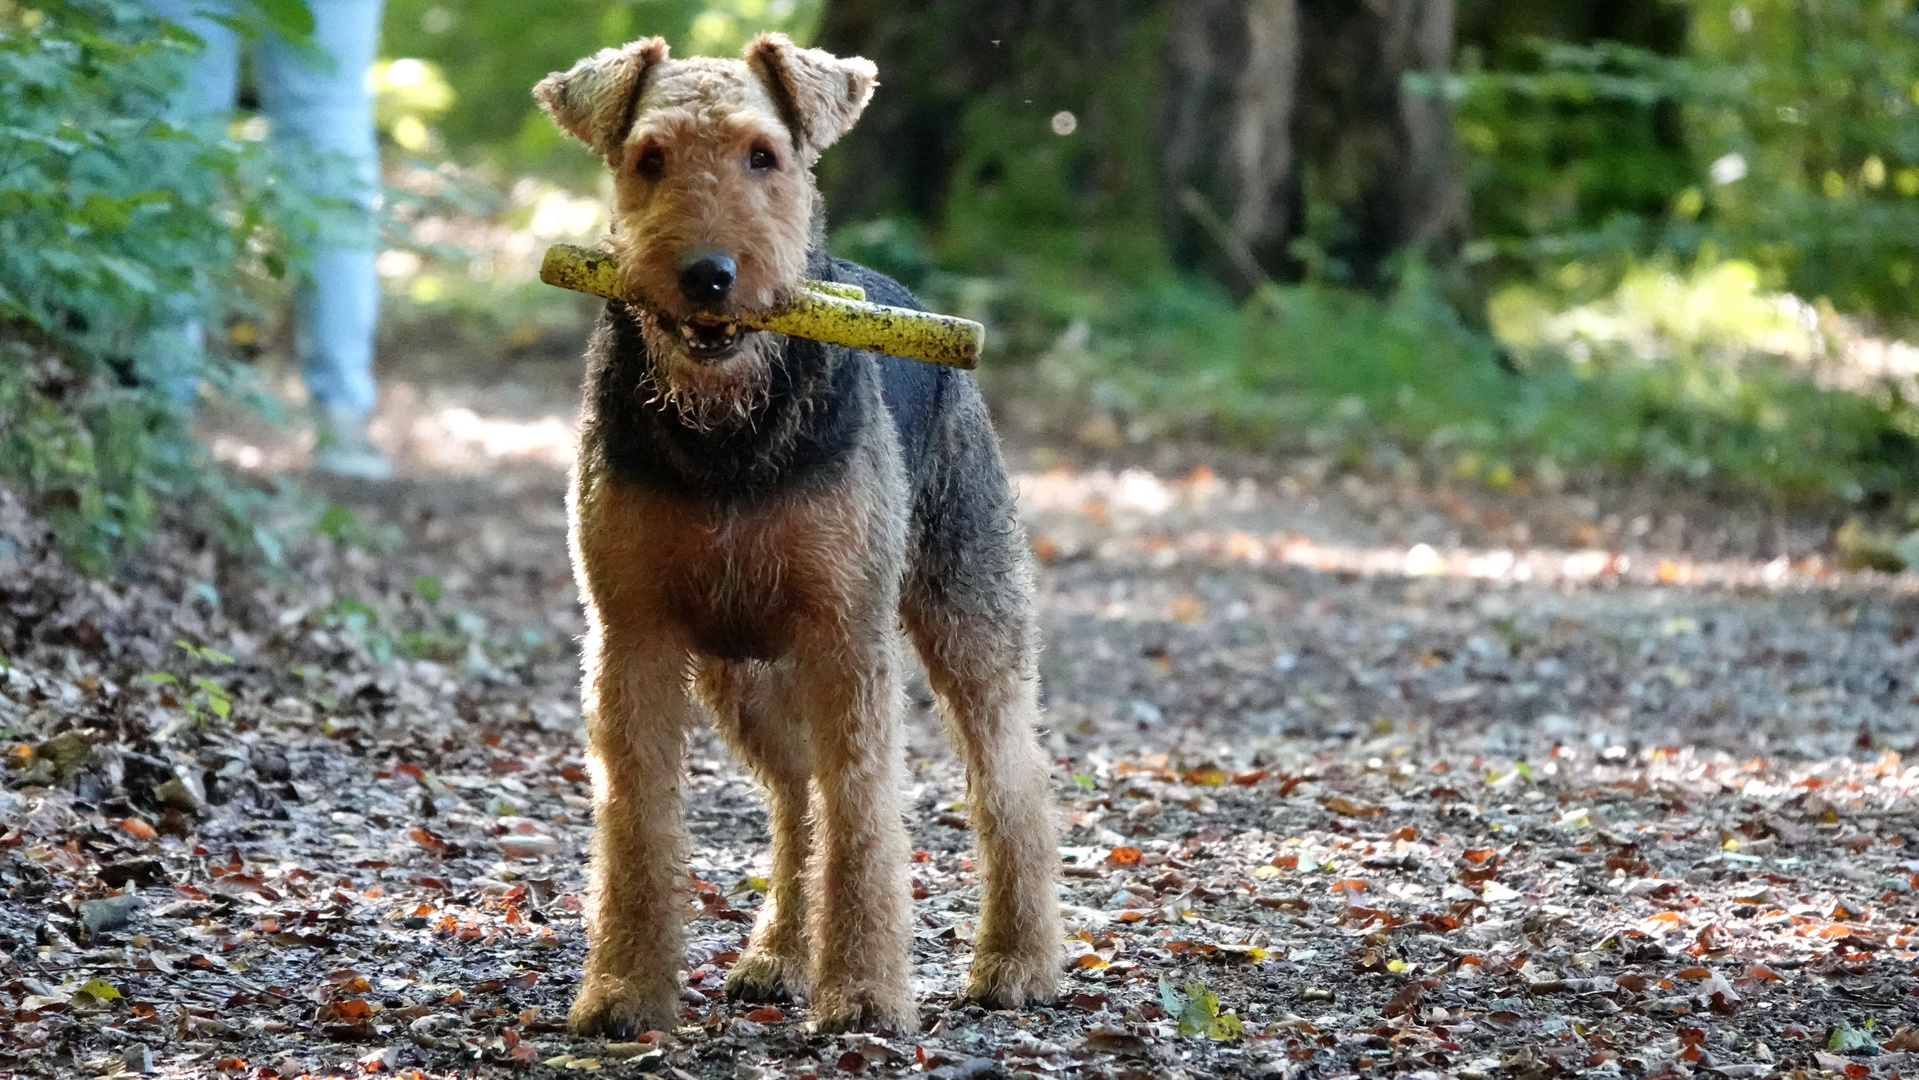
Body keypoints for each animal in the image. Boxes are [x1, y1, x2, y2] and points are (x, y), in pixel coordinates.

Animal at [529, 29, 1066, 1035]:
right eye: (648, 158)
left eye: (762, 155)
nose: (708, 276)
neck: (726, 432)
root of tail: (890, 287)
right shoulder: (633, 636)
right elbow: (638, 821)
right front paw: (623, 990)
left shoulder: (844, 634)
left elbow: (862, 816)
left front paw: (861, 994)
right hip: (741, 673)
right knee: (796, 802)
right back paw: (778, 955)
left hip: (966, 621)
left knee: (1008, 785)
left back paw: (1017, 961)